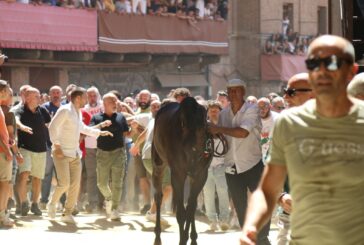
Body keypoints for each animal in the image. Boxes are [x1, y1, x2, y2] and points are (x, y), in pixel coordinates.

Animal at [151, 97, 213, 245]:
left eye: (202, 126)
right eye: (183, 124)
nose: (195, 152)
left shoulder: (201, 174)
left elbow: (191, 207)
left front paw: (191, 238)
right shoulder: (178, 173)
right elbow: (181, 212)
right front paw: (182, 239)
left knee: (190, 202)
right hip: (158, 165)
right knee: (158, 196)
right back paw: (157, 236)